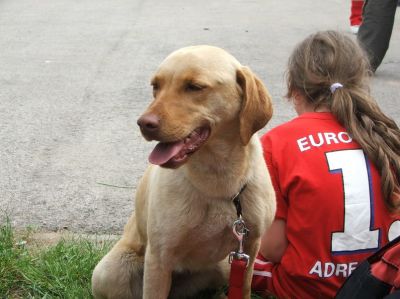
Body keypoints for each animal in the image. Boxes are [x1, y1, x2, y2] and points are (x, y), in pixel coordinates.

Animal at [92, 45, 276, 299]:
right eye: (155, 86)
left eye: (194, 87)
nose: (143, 123)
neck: (218, 180)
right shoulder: (159, 257)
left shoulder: (248, 248)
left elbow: (245, 288)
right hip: (111, 271)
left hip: (223, 267)